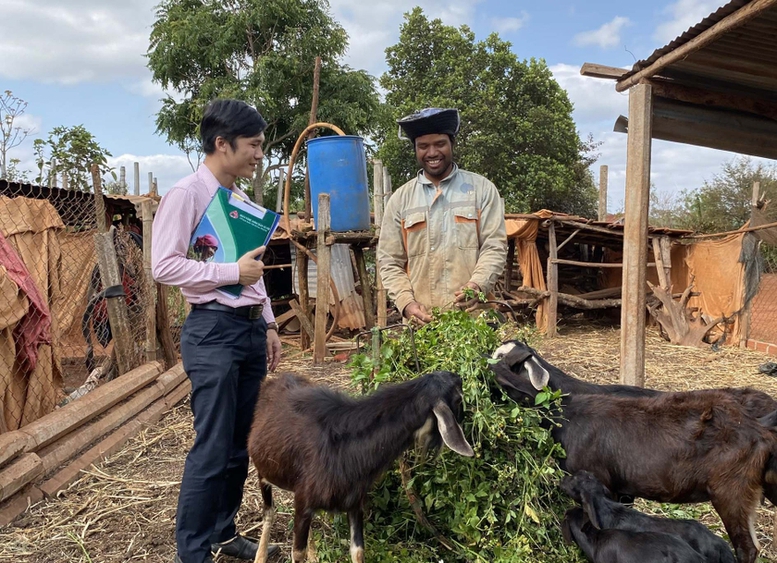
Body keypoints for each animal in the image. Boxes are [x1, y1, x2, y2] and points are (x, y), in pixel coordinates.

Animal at [246, 372, 472, 560]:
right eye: (459, 398)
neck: (344, 446)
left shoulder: (354, 503)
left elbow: (358, 551)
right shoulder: (305, 502)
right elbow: (297, 552)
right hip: (263, 473)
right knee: (269, 512)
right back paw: (260, 555)